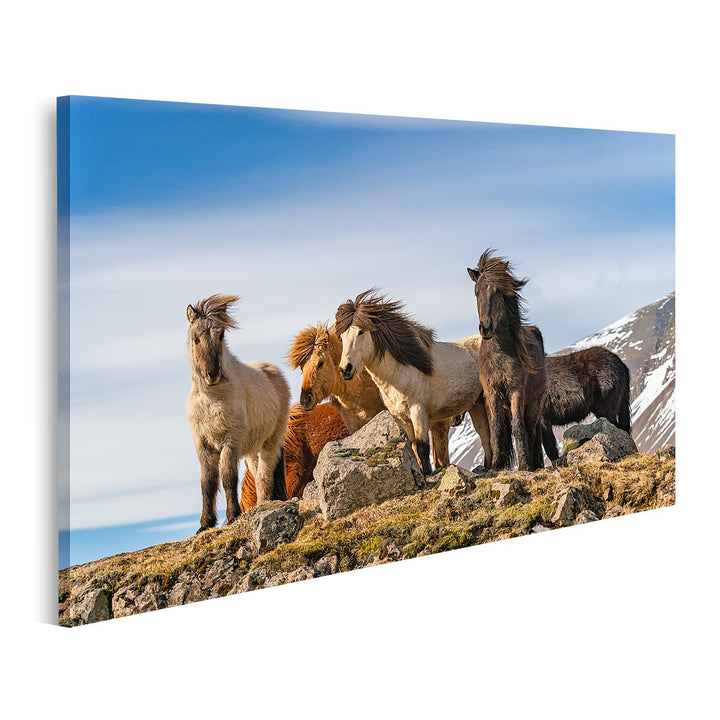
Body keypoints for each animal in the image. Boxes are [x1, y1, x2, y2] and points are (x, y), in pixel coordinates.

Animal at [186, 294, 291, 531]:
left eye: (221, 335)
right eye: (196, 339)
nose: (212, 374)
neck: (212, 399)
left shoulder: (230, 441)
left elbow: (228, 477)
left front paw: (233, 515)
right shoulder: (203, 444)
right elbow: (208, 481)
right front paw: (205, 523)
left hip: (270, 442)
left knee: (264, 474)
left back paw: (263, 505)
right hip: (252, 449)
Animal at [335, 290, 490, 476]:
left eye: (361, 332)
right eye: (342, 337)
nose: (345, 369)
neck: (401, 372)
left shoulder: (418, 410)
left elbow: (422, 447)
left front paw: (427, 474)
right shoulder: (401, 418)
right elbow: (414, 447)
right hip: (477, 404)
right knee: (486, 435)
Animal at [467, 250, 547, 471]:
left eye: (497, 291)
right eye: (476, 292)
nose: (485, 328)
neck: (500, 353)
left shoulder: (516, 391)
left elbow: (519, 428)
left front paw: (525, 465)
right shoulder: (492, 393)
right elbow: (496, 429)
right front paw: (495, 465)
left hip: (533, 403)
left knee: (532, 430)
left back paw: (535, 462)